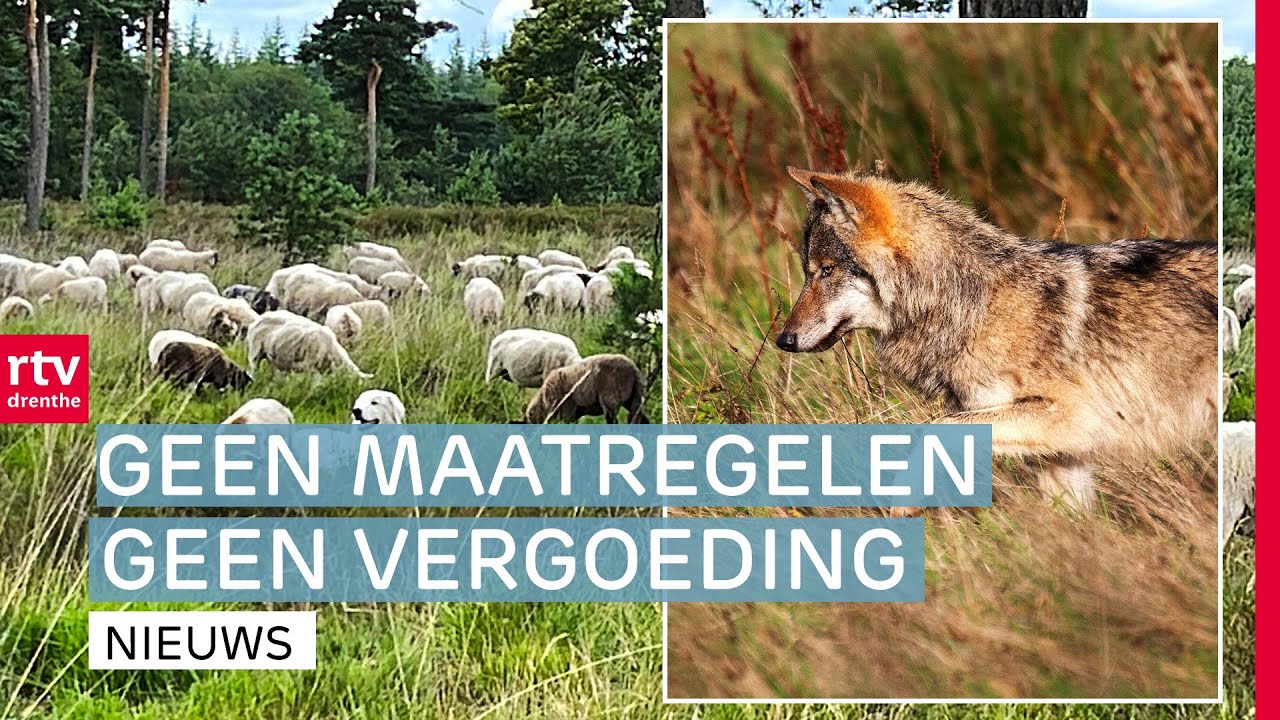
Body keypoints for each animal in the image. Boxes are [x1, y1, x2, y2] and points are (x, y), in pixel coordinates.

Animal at [776, 168, 1218, 510]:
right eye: (808, 271)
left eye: (827, 270)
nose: (784, 340)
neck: (973, 305)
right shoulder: (1064, 456)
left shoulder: (1076, 418)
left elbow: (933, 431)